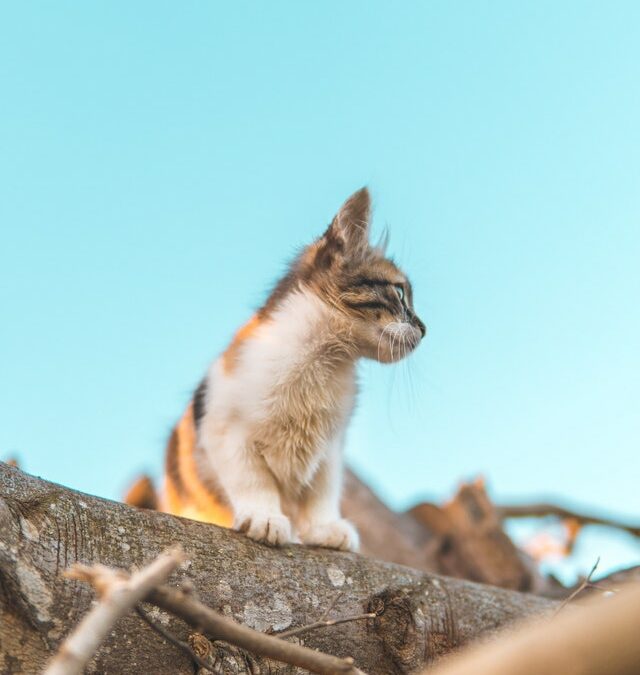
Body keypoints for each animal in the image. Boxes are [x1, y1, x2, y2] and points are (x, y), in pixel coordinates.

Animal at [162, 189, 424, 548]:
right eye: (399, 292)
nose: (425, 328)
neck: (324, 359)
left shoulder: (330, 449)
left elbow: (322, 491)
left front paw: (323, 528)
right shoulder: (225, 431)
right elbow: (253, 480)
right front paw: (265, 517)